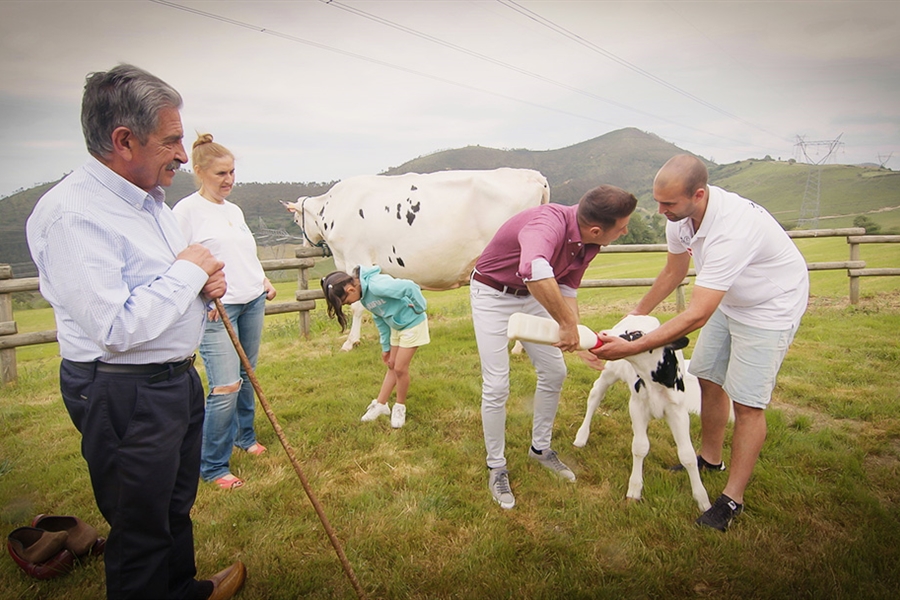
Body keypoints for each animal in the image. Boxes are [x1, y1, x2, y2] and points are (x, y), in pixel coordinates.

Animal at [576, 314, 712, 510]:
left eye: (637, 334)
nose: (603, 334)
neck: (653, 380)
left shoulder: (678, 411)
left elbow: (687, 455)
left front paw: (702, 500)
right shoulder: (637, 406)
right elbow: (640, 447)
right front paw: (634, 490)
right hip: (610, 372)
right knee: (595, 396)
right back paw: (581, 436)